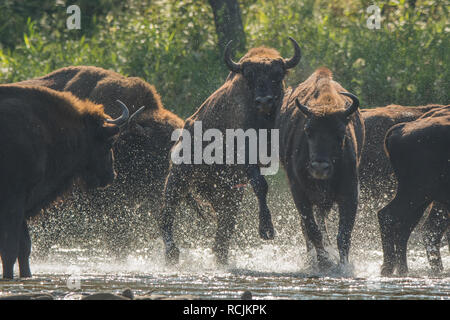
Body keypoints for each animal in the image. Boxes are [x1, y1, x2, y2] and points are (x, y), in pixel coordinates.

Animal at [0, 84, 129, 278]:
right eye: (109, 143)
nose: (111, 175)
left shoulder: (24, 205)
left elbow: (24, 248)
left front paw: (27, 275)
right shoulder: (13, 203)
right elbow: (10, 249)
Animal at [160, 37, 300, 264]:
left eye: (278, 74)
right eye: (249, 75)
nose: (264, 101)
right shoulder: (245, 157)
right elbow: (260, 185)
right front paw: (266, 230)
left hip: (224, 191)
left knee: (225, 220)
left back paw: (220, 254)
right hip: (178, 179)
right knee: (167, 213)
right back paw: (173, 253)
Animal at [274, 68, 366, 270]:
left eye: (340, 133)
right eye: (308, 131)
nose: (319, 167)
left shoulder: (350, 193)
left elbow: (343, 234)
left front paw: (343, 265)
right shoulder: (299, 193)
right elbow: (312, 229)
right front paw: (324, 261)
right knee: (308, 227)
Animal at [360, 104, 448, 272]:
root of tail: (400, 129)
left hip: (423, 198)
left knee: (408, 228)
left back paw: (402, 268)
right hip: (416, 192)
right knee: (388, 216)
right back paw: (390, 268)